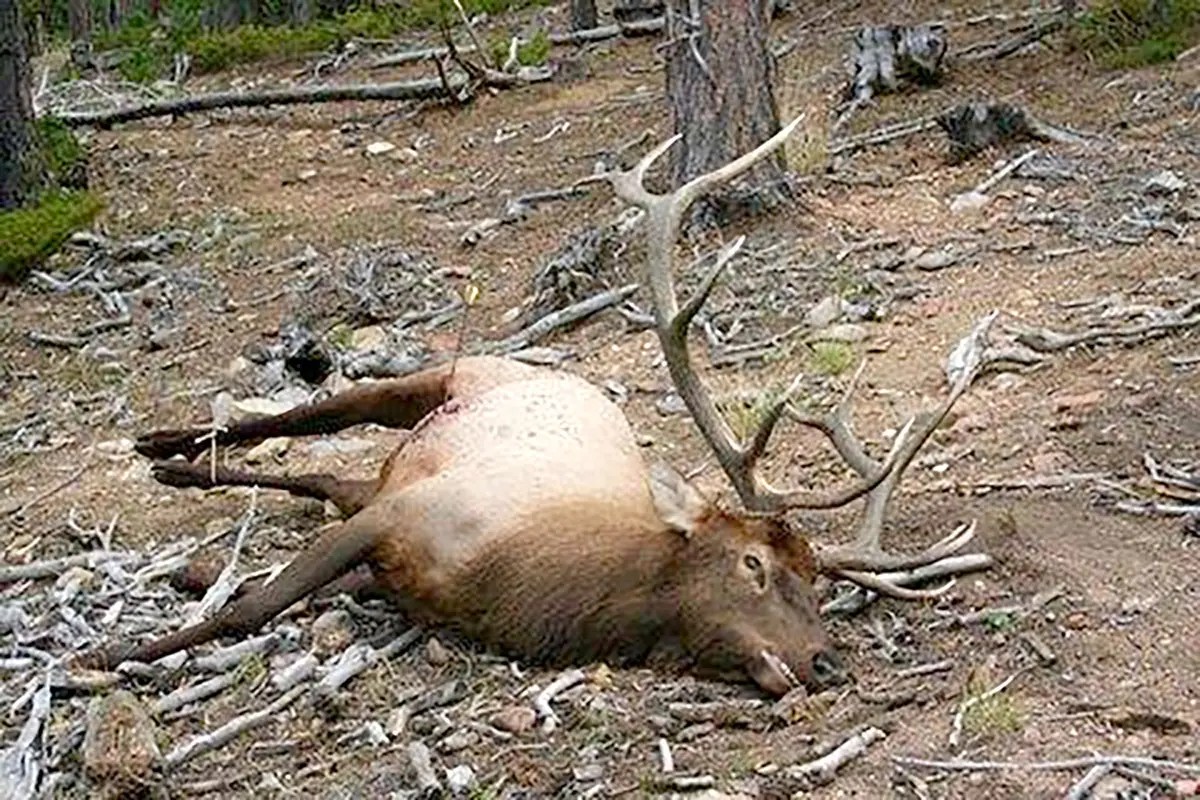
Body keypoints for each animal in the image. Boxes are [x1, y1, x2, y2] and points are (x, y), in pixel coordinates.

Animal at [75, 115, 995, 697]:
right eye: (752, 564)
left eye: (820, 583)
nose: (828, 662)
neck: (510, 587)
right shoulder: (401, 516)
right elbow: (258, 604)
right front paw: (122, 652)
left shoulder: (394, 551)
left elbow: (288, 571)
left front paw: (189, 583)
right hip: (436, 382)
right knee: (315, 415)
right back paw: (159, 443)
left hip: (390, 462)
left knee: (321, 476)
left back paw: (178, 479)